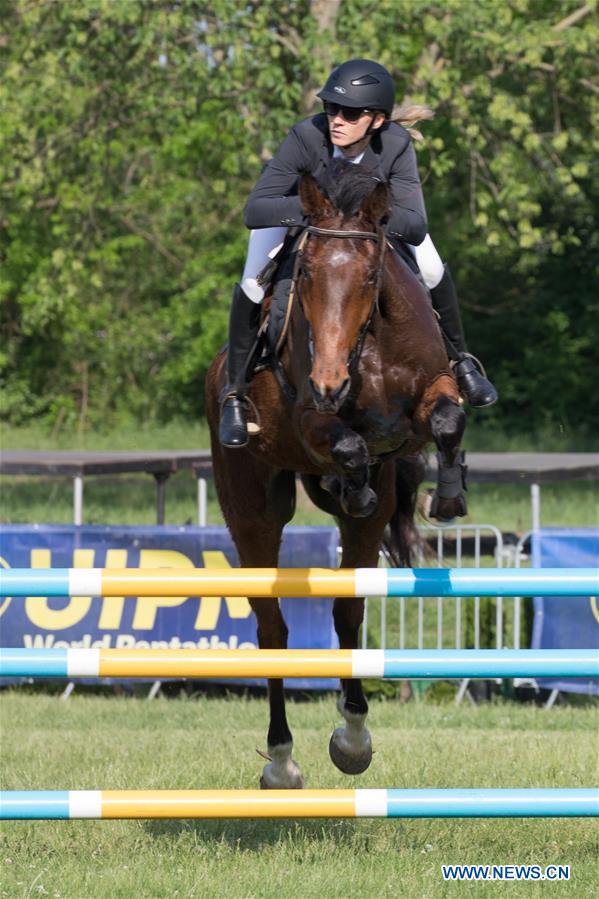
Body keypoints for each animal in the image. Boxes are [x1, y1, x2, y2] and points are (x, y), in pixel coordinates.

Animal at [206, 162, 468, 788]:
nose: (329, 383)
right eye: (304, 273)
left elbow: (447, 419)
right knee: (272, 628)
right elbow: (347, 443)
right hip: (252, 510)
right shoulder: (311, 420)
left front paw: (446, 498)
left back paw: (353, 739)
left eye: (371, 275)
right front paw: (357, 479)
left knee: (348, 611)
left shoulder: (431, 396)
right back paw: (281, 762)